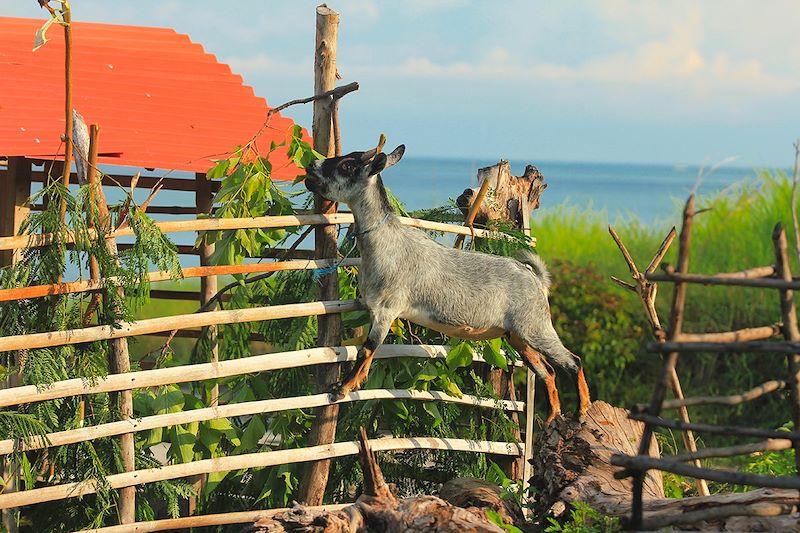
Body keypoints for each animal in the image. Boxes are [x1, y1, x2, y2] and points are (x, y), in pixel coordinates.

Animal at [304, 141, 592, 420]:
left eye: (347, 165)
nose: (311, 167)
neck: (386, 242)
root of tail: (538, 279)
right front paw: (349, 385)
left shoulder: (388, 308)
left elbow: (367, 350)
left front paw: (341, 389)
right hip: (517, 335)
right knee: (548, 371)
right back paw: (554, 416)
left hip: (536, 325)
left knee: (573, 361)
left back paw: (581, 411)